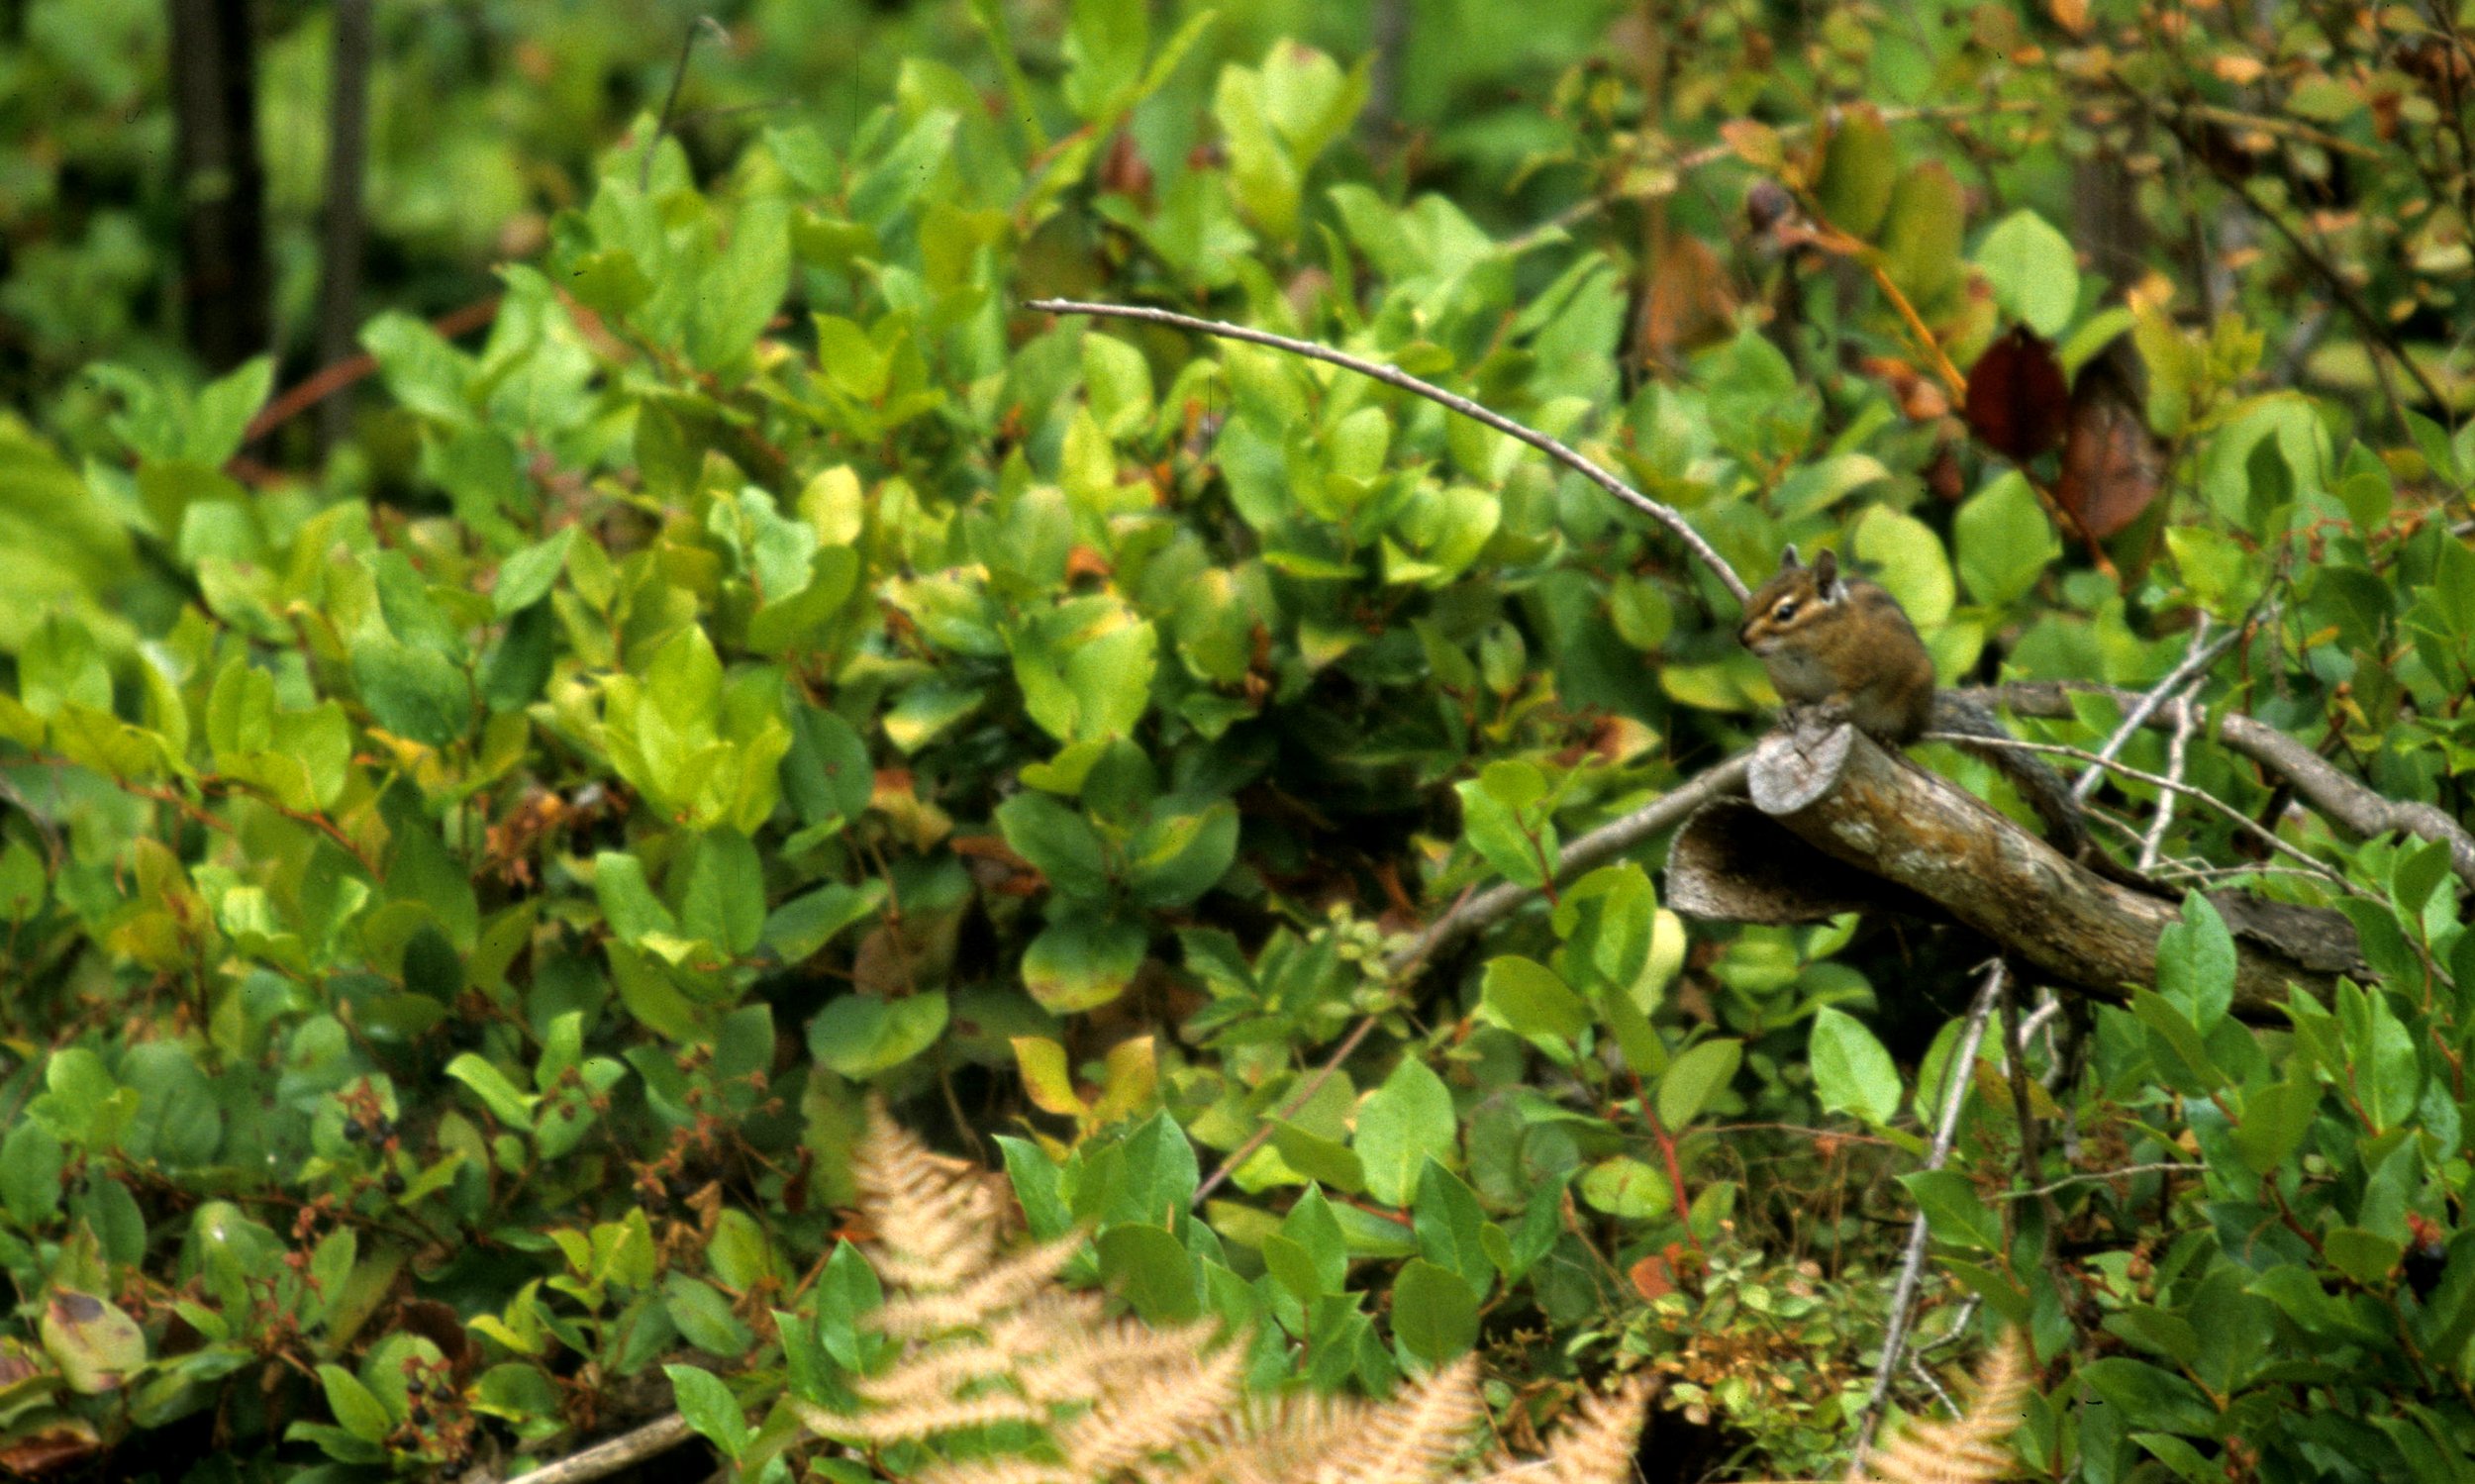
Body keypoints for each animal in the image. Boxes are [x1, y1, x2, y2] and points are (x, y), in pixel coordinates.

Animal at [1737, 545, 2124, 879]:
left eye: (1785, 612)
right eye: (1754, 597)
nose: (1743, 638)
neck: (1801, 651)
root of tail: (1925, 715)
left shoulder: (1870, 666)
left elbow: (1853, 689)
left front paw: (1835, 704)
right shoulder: (1787, 682)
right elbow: (1792, 700)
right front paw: (1788, 712)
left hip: (1904, 707)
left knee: (1904, 738)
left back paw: (1884, 739)